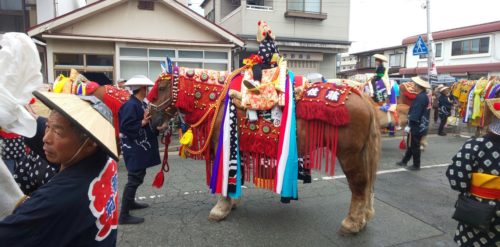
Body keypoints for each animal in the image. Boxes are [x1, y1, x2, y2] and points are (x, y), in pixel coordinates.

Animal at [146, 60, 380, 234]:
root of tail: (362, 96)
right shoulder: (237, 149)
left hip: (349, 155)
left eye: (161, 88)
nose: (150, 121)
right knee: (366, 185)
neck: (219, 101)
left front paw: (221, 208)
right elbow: (236, 175)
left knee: (359, 185)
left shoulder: (226, 148)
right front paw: (232, 202)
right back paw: (363, 219)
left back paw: (352, 223)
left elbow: (226, 179)